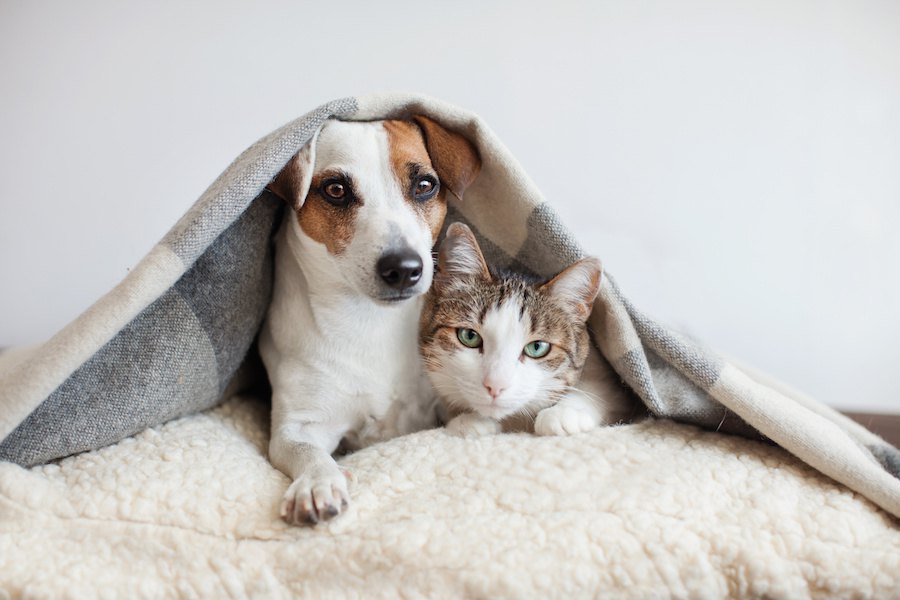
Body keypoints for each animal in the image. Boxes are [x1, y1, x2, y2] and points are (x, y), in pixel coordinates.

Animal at [258, 113, 482, 524]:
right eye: (335, 190)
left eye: (424, 185)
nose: (404, 268)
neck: (370, 321)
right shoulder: (297, 426)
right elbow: (307, 452)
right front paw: (317, 483)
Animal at [420, 221, 636, 436]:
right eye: (469, 336)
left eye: (537, 347)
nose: (495, 386)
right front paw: (469, 420)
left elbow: (600, 389)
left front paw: (564, 413)